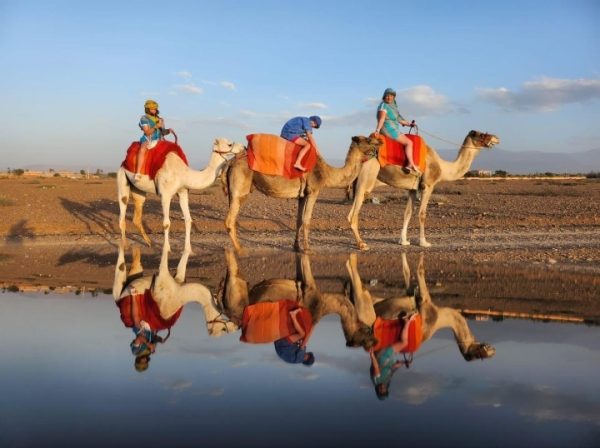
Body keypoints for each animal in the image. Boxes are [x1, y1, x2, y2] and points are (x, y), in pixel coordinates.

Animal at [220, 135, 380, 254]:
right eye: (368, 140)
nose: (380, 142)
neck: (327, 173)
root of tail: (231, 162)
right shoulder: (313, 191)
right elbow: (307, 220)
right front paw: (308, 249)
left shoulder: (302, 196)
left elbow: (298, 220)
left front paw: (296, 246)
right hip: (240, 189)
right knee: (229, 220)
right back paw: (240, 249)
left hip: (236, 192)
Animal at [344, 130, 500, 250]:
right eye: (481, 134)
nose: (496, 138)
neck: (443, 167)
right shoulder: (428, 185)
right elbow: (422, 213)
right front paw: (424, 242)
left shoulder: (412, 189)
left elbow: (408, 213)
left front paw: (403, 241)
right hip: (366, 179)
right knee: (352, 214)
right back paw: (361, 244)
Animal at [344, 252, 494, 364]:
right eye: (488, 352)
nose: (493, 349)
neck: (439, 317)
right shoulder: (425, 304)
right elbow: (416, 273)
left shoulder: (420, 300)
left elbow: (412, 275)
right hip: (368, 314)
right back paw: (352, 260)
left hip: (367, 313)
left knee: (360, 293)